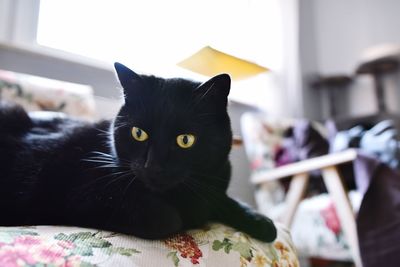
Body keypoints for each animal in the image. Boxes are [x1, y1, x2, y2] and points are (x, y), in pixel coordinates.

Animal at [0, 64, 276, 243]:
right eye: (138, 133)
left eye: (185, 140)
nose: (153, 166)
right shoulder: (78, 189)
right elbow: (169, 219)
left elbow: (226, 202)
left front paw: (260, 220)